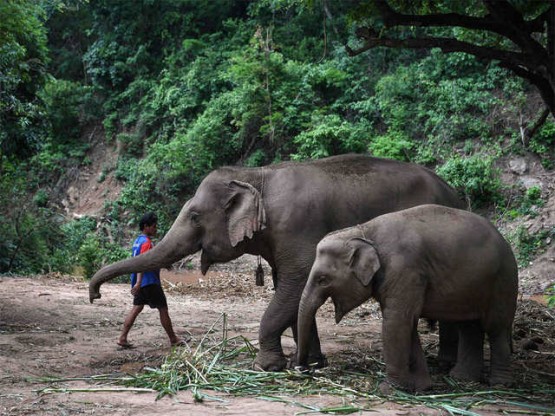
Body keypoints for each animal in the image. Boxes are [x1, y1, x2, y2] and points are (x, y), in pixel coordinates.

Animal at [91, 153, 464, 370]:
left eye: (195, 216)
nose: (94, 294)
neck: (257, 176)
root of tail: (456, 192)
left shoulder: (298, 229)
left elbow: (294, 285)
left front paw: (268, 366)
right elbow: (291, 289)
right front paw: (311, 362)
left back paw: (444, 365)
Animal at [298, 205, 520, 394]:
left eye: (322, 279)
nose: (305, 370)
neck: (364, 231)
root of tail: (505, 241)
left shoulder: (404, 271)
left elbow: (397, 322)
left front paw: (388, 389)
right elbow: (407, 323)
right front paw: (421, 387)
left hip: (503, 280)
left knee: (496, 327)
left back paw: (499, 384)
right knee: (469, 327)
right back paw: (462, 378)